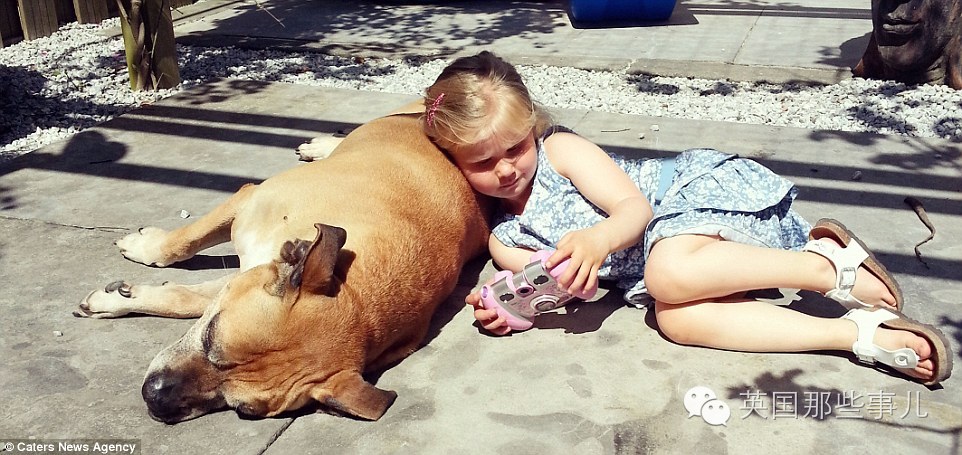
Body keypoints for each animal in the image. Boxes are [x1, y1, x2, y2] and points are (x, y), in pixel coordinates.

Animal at [75, 109, 491, 423]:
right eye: (210, 337)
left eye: (242, 410)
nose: (155, 399)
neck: (358, 283)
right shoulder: (248, 202)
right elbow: (184, 242)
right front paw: (145, 250)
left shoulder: (243, 275)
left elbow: (183, 298)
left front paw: (118, 298)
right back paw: (324, 145)